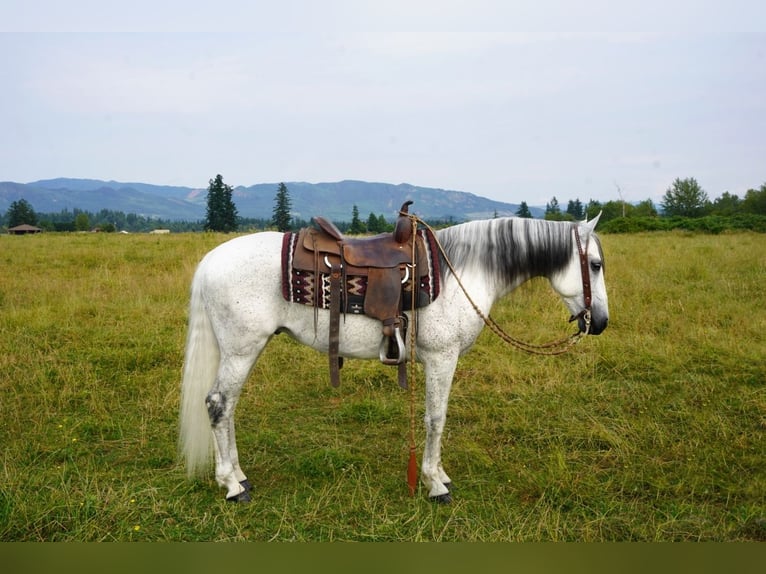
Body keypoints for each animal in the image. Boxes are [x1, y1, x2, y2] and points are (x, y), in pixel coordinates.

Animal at [180, 216, 612, 504]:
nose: (601, 323)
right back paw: (231, 486)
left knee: (228, 408)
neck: (462, 271)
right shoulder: (442, 358)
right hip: (242, 348)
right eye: (595, 265)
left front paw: (438, 476)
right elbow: (436, 418)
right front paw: (435, 484)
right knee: (218, 405)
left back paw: (240, 476)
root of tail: (210, 261)